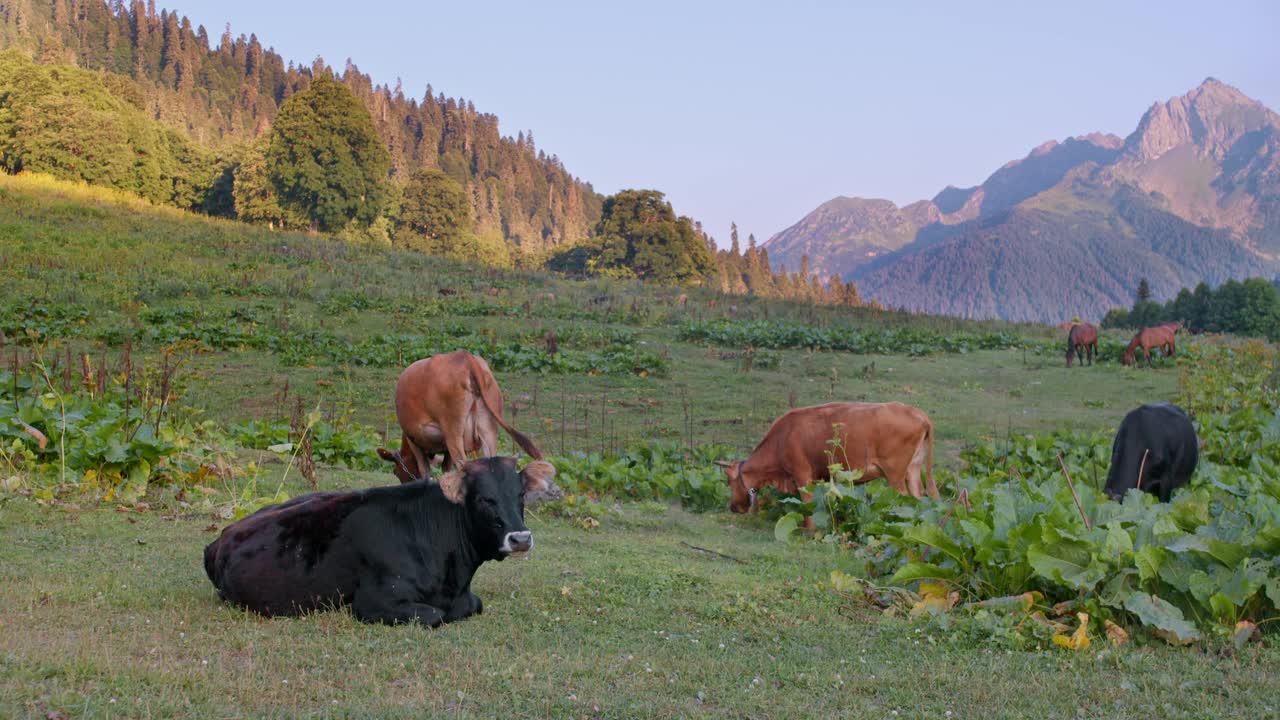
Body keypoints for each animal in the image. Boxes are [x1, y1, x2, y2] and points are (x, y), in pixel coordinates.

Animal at [202, 458, 552, 622]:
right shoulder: (373, 602)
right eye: (483, 499)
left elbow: (474, 605)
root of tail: (222, 536)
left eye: (520, 494)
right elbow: (435, 615)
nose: (520, 538)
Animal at [378, 348, 540, 479]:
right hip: (488, 428)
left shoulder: (413, 439)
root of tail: (466, 358)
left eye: (396, 472)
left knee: (463, 465)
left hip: (453, 431)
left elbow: (425, 471)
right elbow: (446, 469)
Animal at [716, 399, 936, 525]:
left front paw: (811, 531)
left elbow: (807, 505)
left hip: (895, 474)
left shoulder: (802, 475)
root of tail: (917, 413)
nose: (732, 507)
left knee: (904, 499)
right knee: (919, 497)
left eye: (728, 480)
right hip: (913, 470)